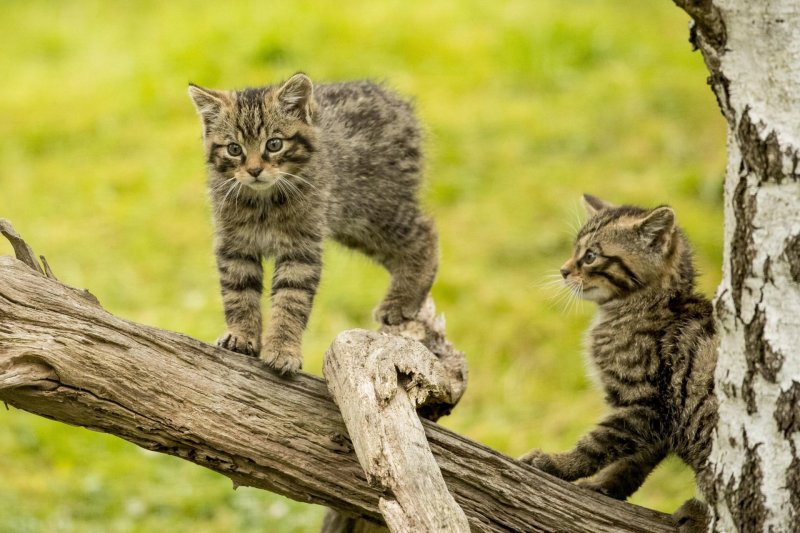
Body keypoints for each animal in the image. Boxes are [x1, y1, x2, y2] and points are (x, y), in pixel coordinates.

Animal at [189, 74, 438, 374]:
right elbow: (238, 294)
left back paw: (402, 300)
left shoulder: (301, 248)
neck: (264, 202)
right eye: (234, 149)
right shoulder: (235, 245)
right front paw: (241, 336)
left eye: (274, 144)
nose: (254, 170)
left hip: (374, 210)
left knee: (424, 231)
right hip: (352, 223)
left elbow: (290, 300)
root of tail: (396, 102)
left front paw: (282, 349)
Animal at [520, 193, 716, 528]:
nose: (563, 270)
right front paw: (604, 485)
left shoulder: (645, 402)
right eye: (575, 250)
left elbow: (597, 444)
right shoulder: (656, 421)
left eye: (590, 256)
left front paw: (557, 464)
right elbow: (631, 463)